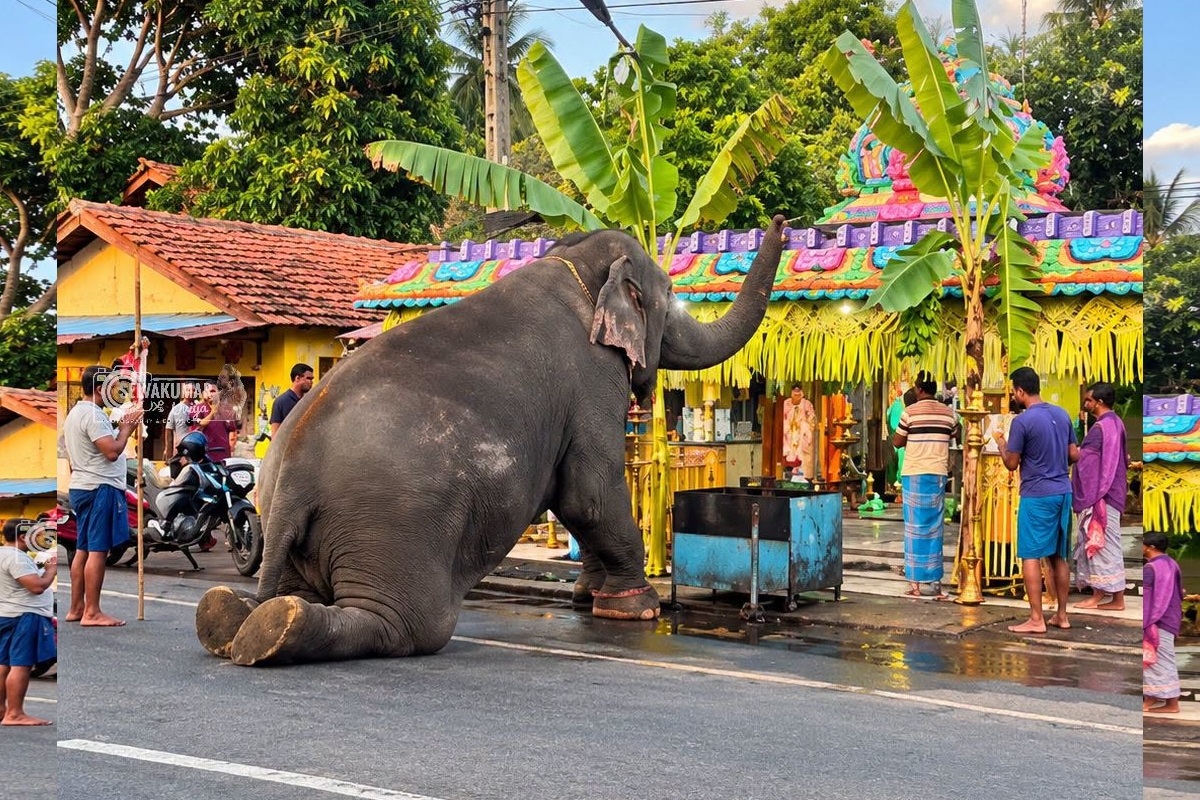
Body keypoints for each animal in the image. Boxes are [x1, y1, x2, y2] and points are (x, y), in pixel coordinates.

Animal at [194, 214, 786, 665]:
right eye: (669, 296)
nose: (781, 220)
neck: (575, 264)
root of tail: (291, 471)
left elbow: (576, 499)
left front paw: (586, 597)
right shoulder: (592, 377)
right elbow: (589, 493)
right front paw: (636, 608)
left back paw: (235, 619)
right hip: (392, 527)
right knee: (408, 623)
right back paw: (271, 627)